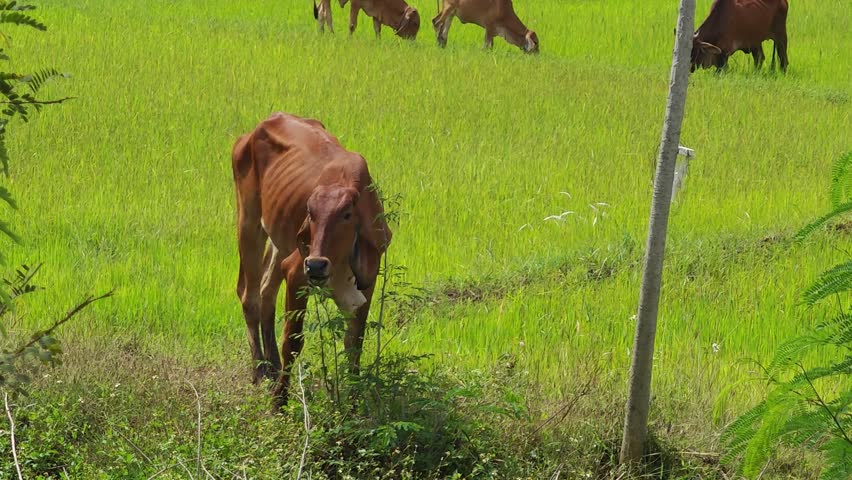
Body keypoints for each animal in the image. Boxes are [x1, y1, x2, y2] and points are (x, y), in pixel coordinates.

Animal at [232, 112, 392, 408]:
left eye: (347, 214)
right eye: (310, 212)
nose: (316, 264)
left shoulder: (368, 281)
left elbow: (354, 343)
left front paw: (353, 402)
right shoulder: (297, 273)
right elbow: (293, 342)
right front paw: (279, 402)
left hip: (279, 241)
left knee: (266, 291)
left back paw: (271, 365)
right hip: (248, 222)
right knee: (250, 296)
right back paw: (259, 370)